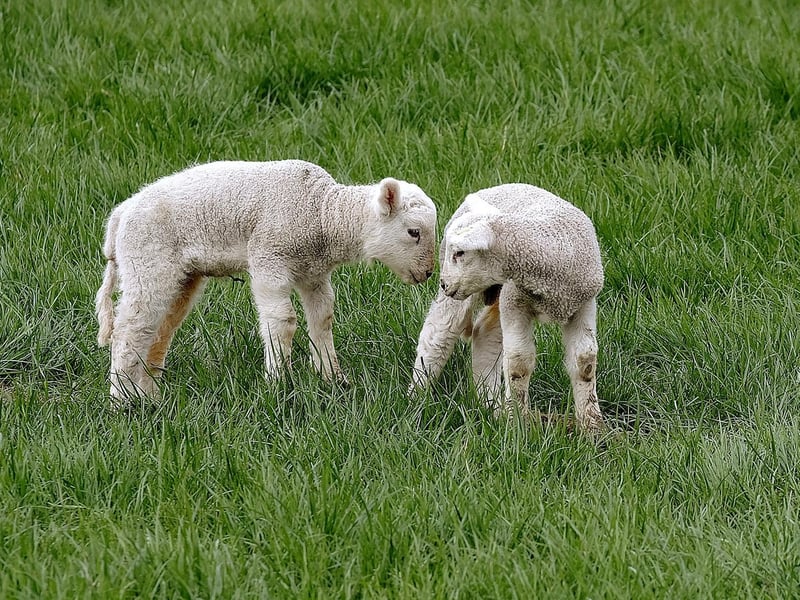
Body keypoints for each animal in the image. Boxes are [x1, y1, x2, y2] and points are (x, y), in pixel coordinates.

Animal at [95, 159, 437, 402]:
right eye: (413, 232)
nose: (428, 273)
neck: (323, 213)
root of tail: (120, 215)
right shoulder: (268, 258)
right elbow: (282, 320)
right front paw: (279, 384)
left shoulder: (314, 272)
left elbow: (323, 318)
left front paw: (333, 379)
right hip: (147, 262)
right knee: (130, 330)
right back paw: (121, 402)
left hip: (180, 276)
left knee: (158, 330)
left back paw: (147, 395)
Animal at [409, 184, 605, 433]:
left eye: (460, 253)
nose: (443, 283)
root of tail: (492, 187)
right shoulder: (515, 301)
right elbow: (519, 362)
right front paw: (519, 425)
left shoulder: (583, 304)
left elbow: (584, 362)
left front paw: (593, 427)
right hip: (464, 294)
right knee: (438, 334)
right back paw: (417, 397)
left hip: (496, 291)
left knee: (484, 334)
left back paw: (490, 407)